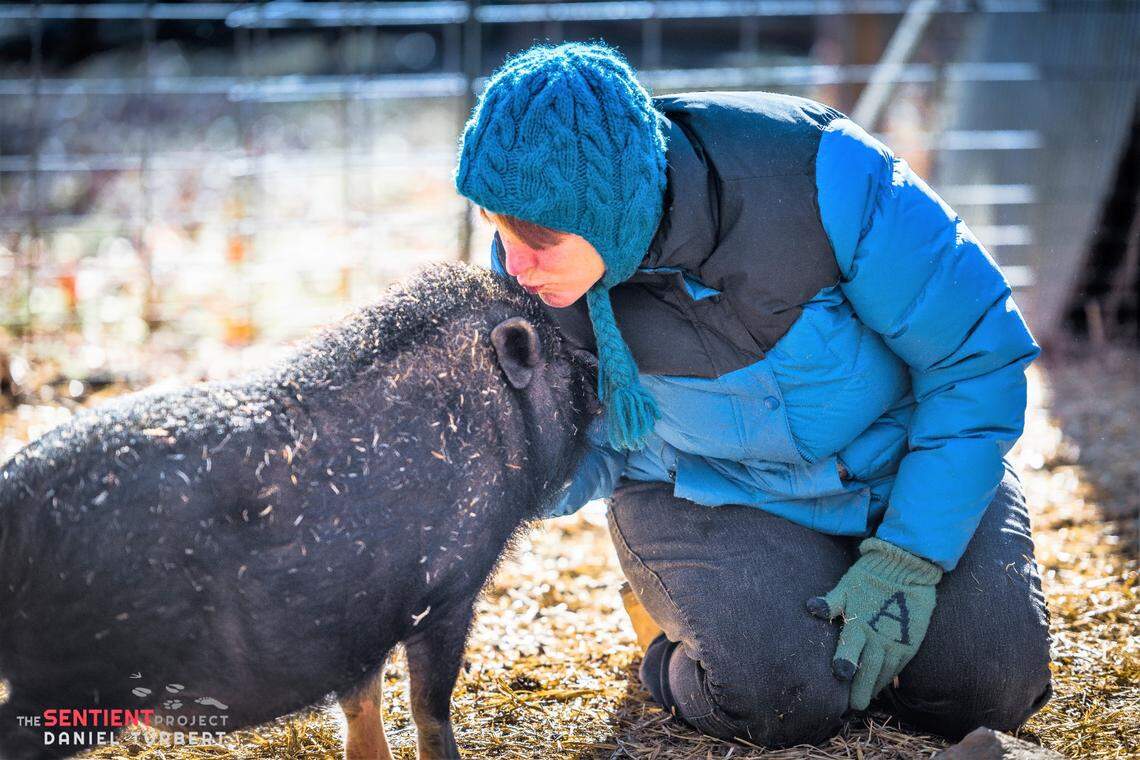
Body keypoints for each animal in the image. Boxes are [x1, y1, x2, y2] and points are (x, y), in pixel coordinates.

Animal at [0, 263, 598, 760]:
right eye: (561, 356)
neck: (492, 419)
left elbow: (362, 709)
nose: (596, 366)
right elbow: (430, 707)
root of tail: (10, 496)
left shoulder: (360, 625)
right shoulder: (450, 590)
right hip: (76, 676)